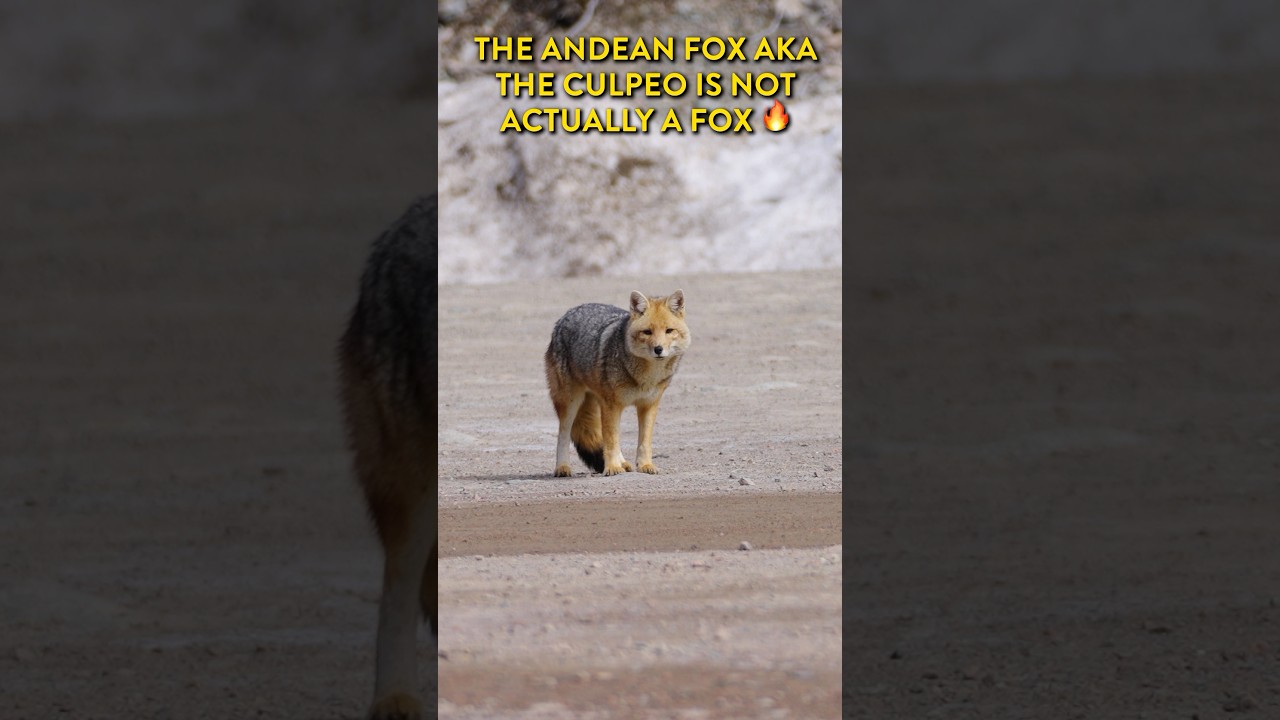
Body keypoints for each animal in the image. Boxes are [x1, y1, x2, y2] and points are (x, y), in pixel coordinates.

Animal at [545, 290, 691, 477]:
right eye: (647, 332)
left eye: (669, 331)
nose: (658, 349)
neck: (646, 378)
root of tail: (566, 315)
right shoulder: (611, 405)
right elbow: (611, 440)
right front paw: (612, 467)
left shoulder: (649, 404)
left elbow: (643, 442)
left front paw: (645, 465)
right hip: (570, 402)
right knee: (563, 434)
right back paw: (562, 467)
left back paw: (624, 463)